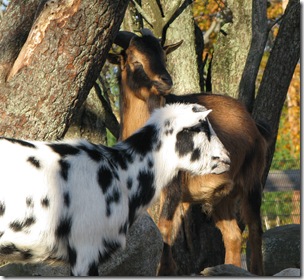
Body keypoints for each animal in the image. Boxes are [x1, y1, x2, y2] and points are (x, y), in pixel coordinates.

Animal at [109, 29, 270, 276]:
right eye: (135, 61)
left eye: (163, 56)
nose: (165, 81)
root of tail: (252, 123)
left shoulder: (173, 187)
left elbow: (165, 227)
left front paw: (166, 269)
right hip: (221, 195)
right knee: (232, 234)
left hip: (252, 180)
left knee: (254, 227)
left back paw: (256, 270)